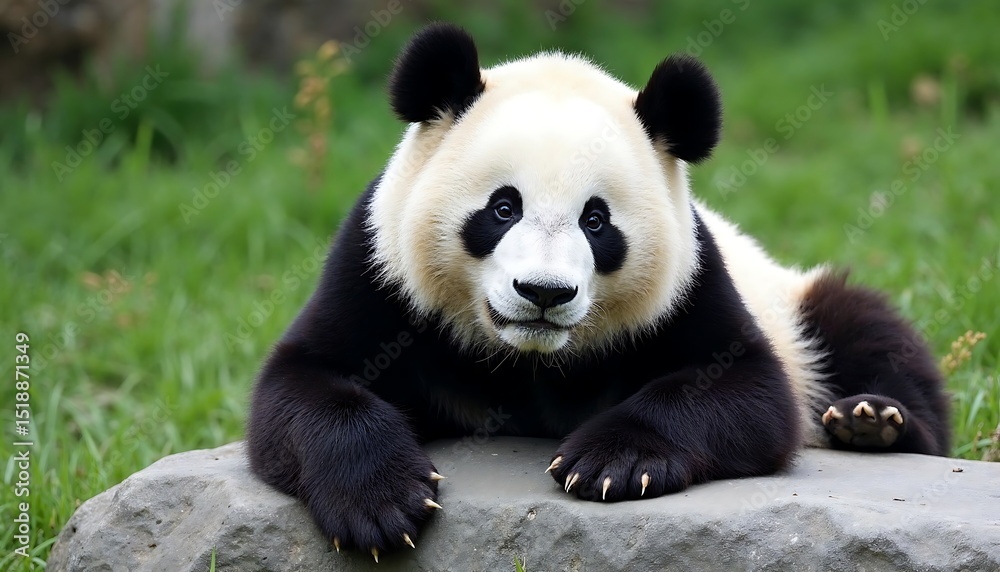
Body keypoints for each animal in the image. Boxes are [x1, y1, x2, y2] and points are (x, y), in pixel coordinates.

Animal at [246, 23, 950, 558]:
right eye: (503, 208)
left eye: (596, 220)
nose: (544, 292)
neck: (527, 359)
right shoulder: (379, 272)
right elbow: (301, 385)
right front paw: (380, 502)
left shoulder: (689, 283)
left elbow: (748, 388)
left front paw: (612, 462)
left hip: (792, 299)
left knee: (863, 330)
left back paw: (870, 420)